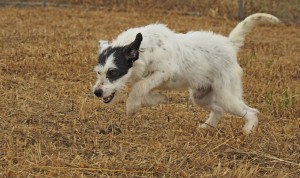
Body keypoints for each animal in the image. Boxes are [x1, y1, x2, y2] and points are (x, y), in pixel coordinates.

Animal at [93, 13, 278, 134]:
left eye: (113, 72)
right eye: (98, 72)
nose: (97, 92)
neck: (144, 48)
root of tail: (228, 44)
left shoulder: (164, 72)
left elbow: (138, 88)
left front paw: (132, 106)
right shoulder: (152, 78)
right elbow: (143, 89)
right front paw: (156, 99)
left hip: (227, 97)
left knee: (252, 112)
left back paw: (247, 131)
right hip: (200, 97)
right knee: (218, 110)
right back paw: (207, 126)